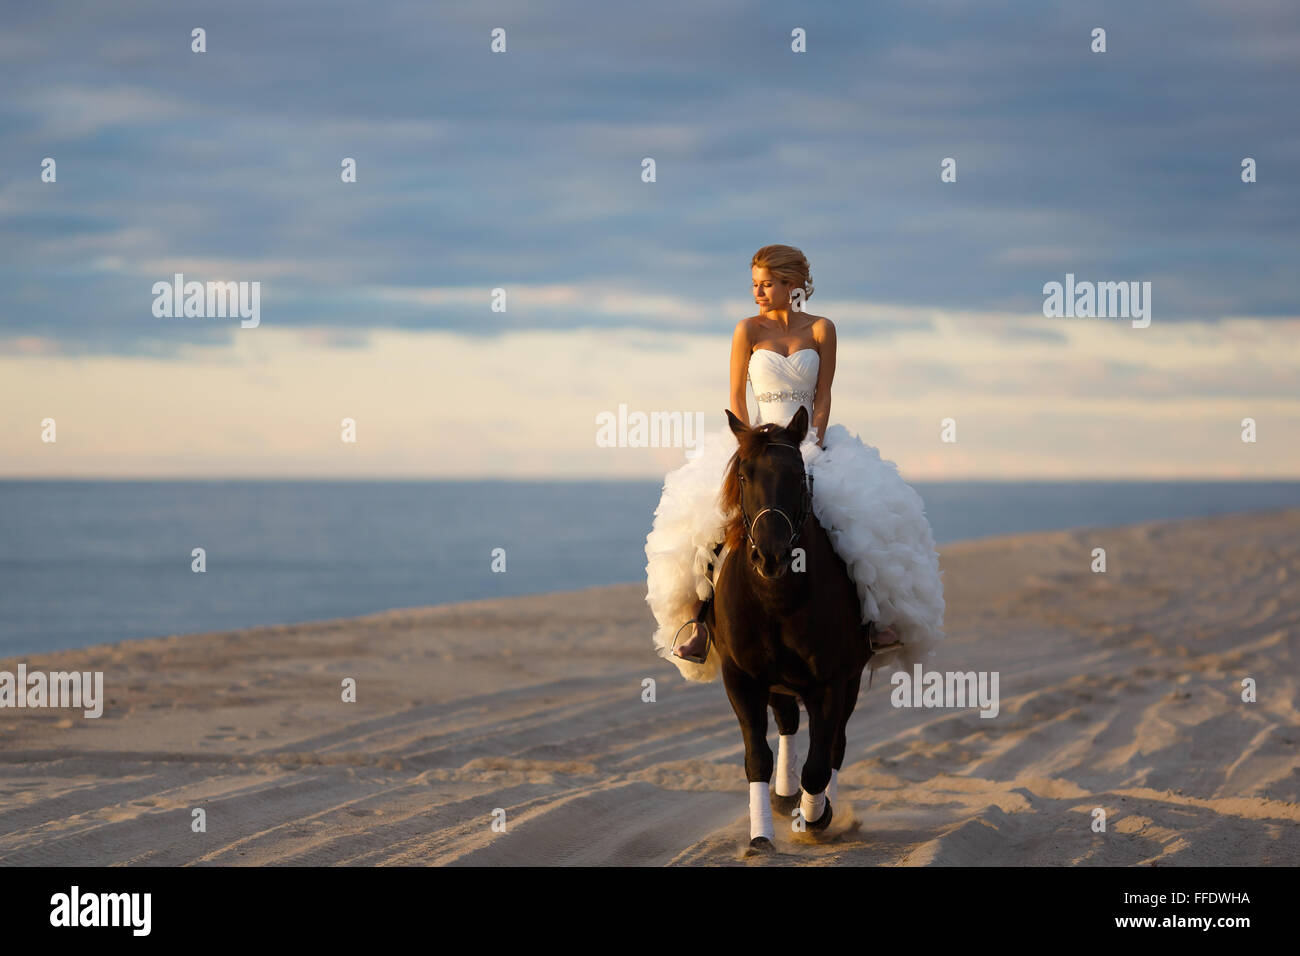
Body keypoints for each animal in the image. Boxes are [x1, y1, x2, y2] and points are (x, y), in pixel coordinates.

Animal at [702, 408, 873, 858]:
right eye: (743, 475)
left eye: (798, 474)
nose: (771, 555)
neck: (777, 598)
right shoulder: (741, 678)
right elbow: (757, 757)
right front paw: (761, 835)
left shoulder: (831, 682)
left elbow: (819, 762)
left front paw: (816, 817)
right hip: (777, 683)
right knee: (788, 723)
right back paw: (782, 795)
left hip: (847, 681)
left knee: (834, 745)